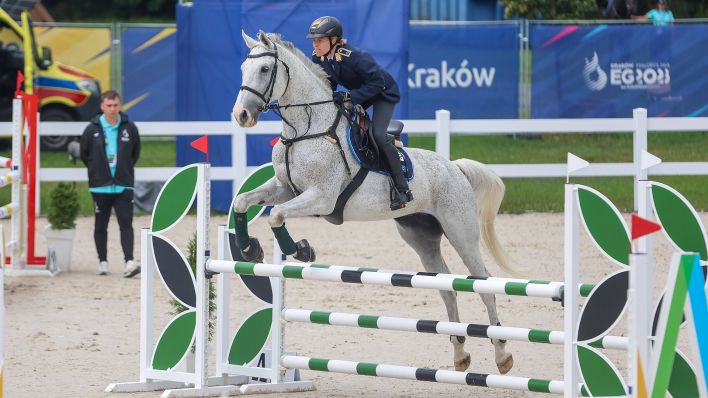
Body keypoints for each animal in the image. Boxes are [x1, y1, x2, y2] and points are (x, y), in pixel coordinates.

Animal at [232, 30, 516, 374]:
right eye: (243, 69)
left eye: (264, 70)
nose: (241, 115)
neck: (306, 129)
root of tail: (455, 168)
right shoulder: (285, 188)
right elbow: (242, 202)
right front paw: (250, 249)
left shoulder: (321, 198)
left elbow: (275, 216)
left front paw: (301, 250)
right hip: (421, 239)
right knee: (447, 287)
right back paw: (460, 354)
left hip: (462, 233)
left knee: (484, 285)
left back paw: (502, 355)